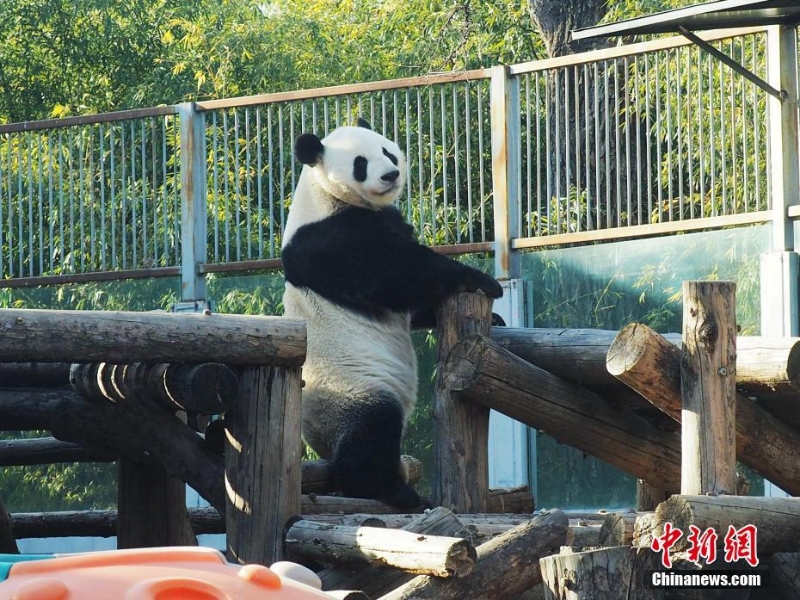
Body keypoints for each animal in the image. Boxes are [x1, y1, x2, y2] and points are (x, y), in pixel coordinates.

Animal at [282, 119, 504, 508]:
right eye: (360, 163)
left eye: (386, 151)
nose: (391, 174)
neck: (327, 193)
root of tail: (317, 443)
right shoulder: (326, 239)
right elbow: (392, 273)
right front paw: (480, 280)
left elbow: (409, 303)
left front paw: (494, 318)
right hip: (347, 388)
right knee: (371, 430)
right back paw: (392, 491)